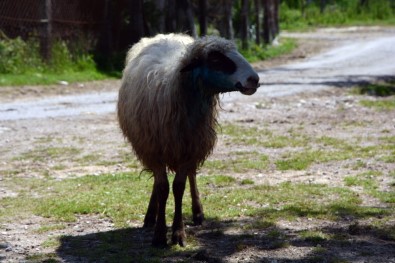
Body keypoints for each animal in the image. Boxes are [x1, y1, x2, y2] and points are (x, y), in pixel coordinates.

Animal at [117, 33, 260, 248]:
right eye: (216, 60)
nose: (254, 79)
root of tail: (165, 35)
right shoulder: (154, 150)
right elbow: (162, 188)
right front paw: (159, 234)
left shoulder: (188, 148)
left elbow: (179, 187)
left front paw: (178, 233)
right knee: (158, 182)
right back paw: (150, 216)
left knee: (192, 176)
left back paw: (197, 212)